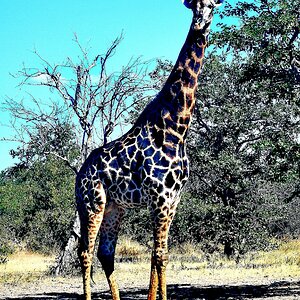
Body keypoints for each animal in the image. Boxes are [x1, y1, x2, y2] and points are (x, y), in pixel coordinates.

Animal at [76, 0, 221, 300]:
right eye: (194, 6)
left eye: (212, 6)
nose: (200, 24)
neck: (176, 128)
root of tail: (79, 174)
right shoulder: (160, 197)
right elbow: (159, 256)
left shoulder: (172, 199)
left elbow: (159, 255)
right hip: (91, 202)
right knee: (85, 253)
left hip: (114, 207)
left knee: (106, 253)